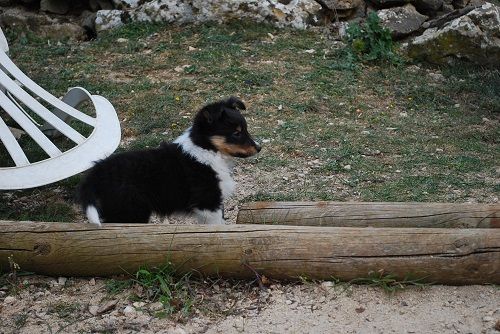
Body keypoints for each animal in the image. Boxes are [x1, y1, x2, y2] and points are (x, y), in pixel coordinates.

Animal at [77, 97, 262, 227]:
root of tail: (97, 170)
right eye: (236, 133)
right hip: (130, 209)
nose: (259, 148)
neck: (206, 148)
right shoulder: (208, 203)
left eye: (245, 129)